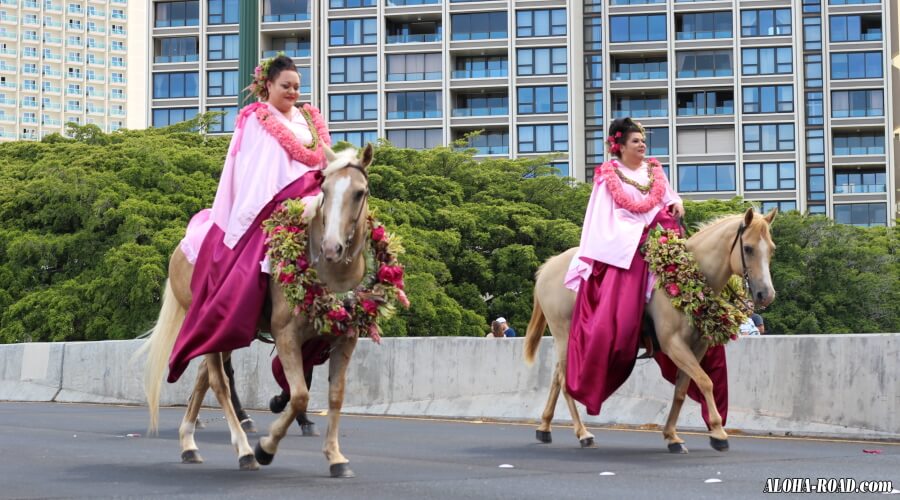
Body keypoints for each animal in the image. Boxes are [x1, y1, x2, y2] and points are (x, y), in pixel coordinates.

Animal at [142, 142, 374, 476]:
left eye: (359, 192)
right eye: (325, 189)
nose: (332, 248)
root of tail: (181, 246)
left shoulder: (344, 339)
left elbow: (334, 395)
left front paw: (335, 456)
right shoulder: (286, 333)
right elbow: (300, 394)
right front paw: (266, 447)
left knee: (203, 376)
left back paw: (189, 443)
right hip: (209, 323)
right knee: (219, 382)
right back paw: (243, 450)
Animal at [524, 207, 776, 454]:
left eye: (771, 249)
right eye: (748, 248)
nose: (766, 294)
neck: (690, 276)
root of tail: (548, 267)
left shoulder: (697, 347)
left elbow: (682, 390)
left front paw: (672, 436)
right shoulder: (673, 344)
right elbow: (706, 382)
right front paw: (718, 432)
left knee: (558, 377)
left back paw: (545, 427)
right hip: (563, 334)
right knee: (565, 381)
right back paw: (583, 433)